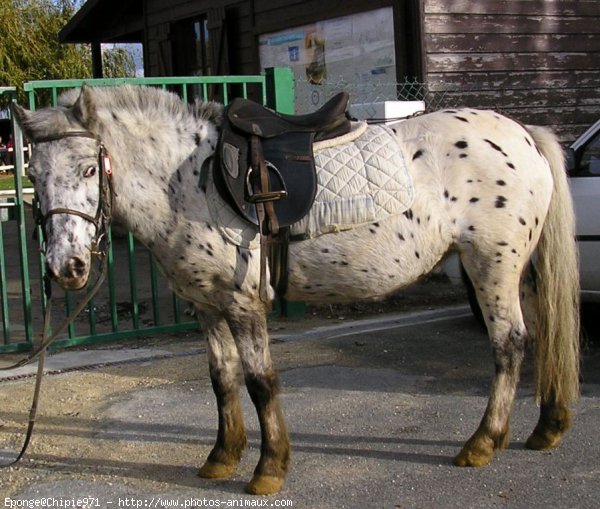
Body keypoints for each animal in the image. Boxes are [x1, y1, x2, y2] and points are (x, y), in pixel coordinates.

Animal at [11, 85, 580, 494]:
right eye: (34, 175)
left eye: (90, 168)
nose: (66, 267)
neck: (187, 181)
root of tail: (523, 133)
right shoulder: (206, 305)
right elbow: (221, 379)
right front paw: (221, 457)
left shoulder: (243, 305)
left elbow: (260, 382)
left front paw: (268, 468)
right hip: (522, 273)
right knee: (547, 334)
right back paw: (547, 428)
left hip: (492, 267)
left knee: (509, 346)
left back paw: (483, 443)